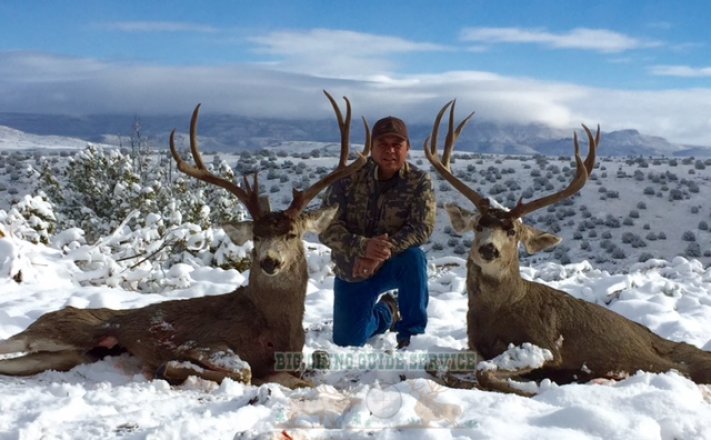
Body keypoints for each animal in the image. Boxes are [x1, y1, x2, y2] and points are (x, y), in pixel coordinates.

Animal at [0, 91, 371, 388]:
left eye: (292, 234)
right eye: (256, 235)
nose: (269, 261)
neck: (274, 330)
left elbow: (304, 375)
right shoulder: (203, 342)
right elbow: (244, 371)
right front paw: (171, 368)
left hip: (66, 356)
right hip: (55, 327)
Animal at [424, 100, 711, 396]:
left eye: (513, 232)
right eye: (479, 224)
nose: (489, 250)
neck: (498, 309)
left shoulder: (544, 344)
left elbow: (485, 373)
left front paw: (531, 389)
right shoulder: (477, 346)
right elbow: (435, 365)